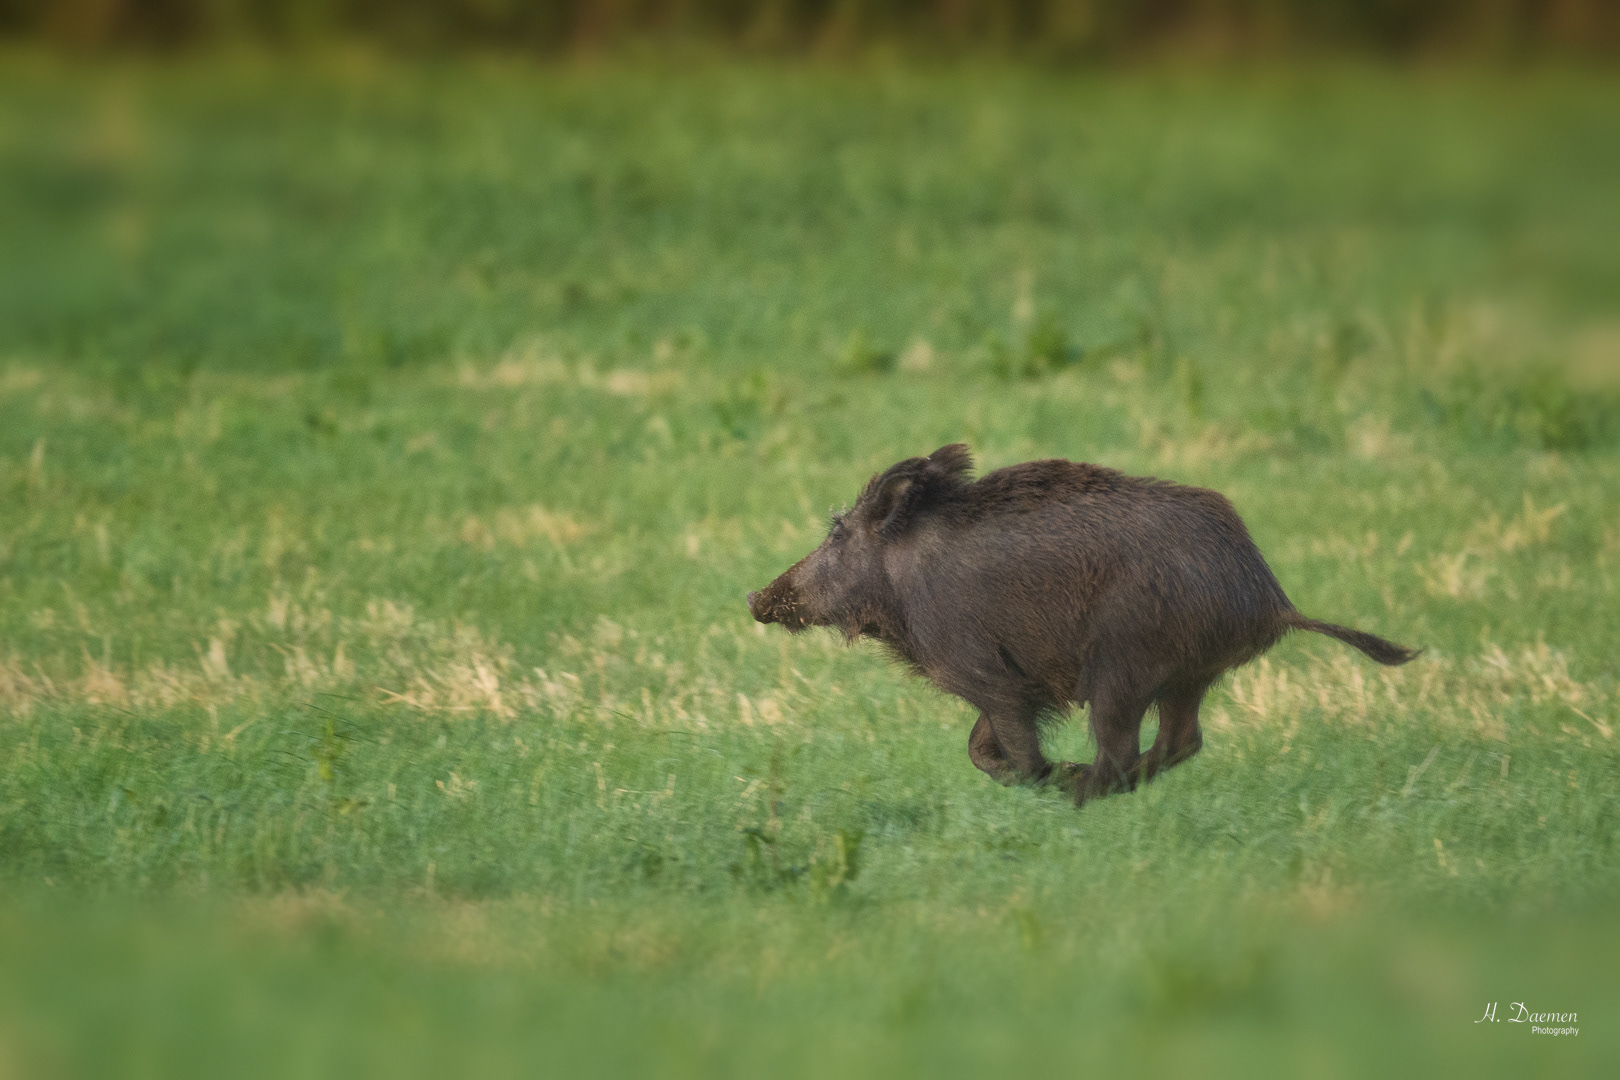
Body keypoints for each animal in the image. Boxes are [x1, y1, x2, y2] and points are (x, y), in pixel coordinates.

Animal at [747, 445, 1418, 804]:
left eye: (837, 531)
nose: (755, 595)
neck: (902, 592)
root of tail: (1269, 598)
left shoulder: (987, 672)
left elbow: (1008, 749)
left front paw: (1046, 777)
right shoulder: (1011, 684)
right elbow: (978, 747)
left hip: (1124, 664)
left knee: (1123, 748)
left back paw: (1078, 789)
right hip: (1188, 675)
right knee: (1182, 741)